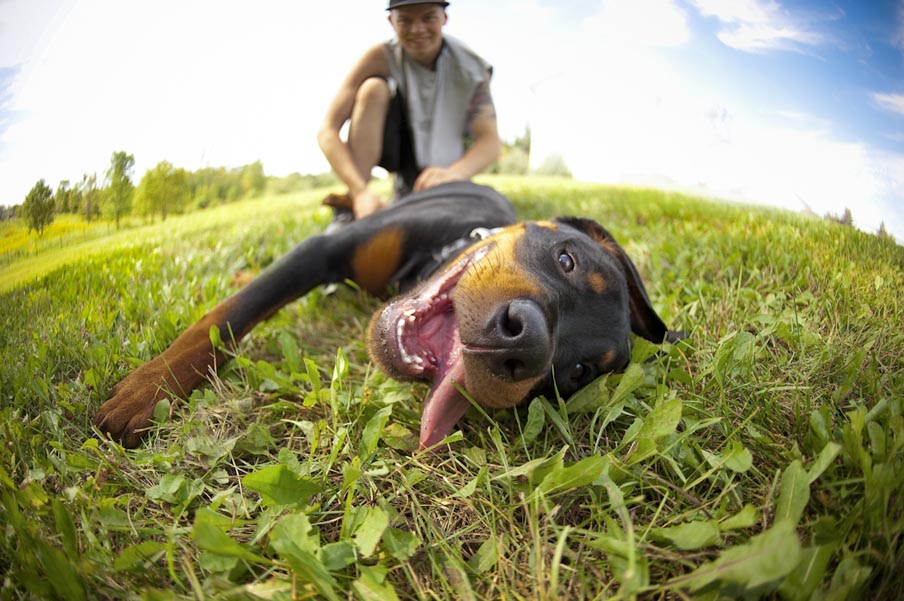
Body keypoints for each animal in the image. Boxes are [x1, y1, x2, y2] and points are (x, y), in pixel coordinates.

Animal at [97, 180, 680, 448]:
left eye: (577, 373)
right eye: (566, 259)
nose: (525, 344)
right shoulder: (322, 251)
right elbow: (224, 317)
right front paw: (148, 390)